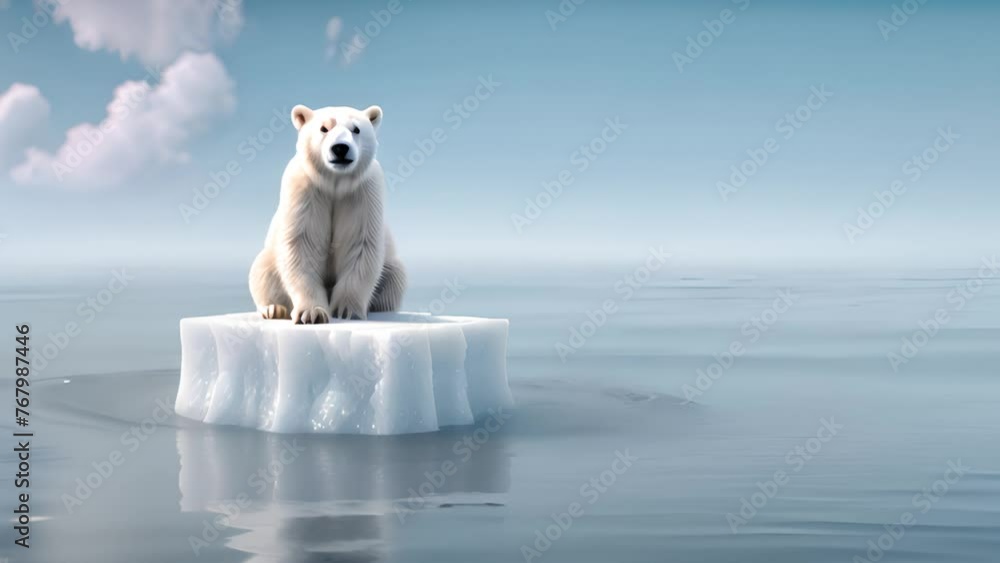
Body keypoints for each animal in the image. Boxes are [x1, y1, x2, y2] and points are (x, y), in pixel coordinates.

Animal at [249, 104, 406, 324]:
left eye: (356, 129)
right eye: (324, 128)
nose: (340, 148)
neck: (334, 182)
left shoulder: (363, 192)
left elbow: (360, 243)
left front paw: (347, 311)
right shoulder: (304, 189)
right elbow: (302, 244)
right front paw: (312, 313)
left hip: (391, 267)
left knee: (395, 279)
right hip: (267, 258)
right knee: (261, 272)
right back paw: (273, 309)